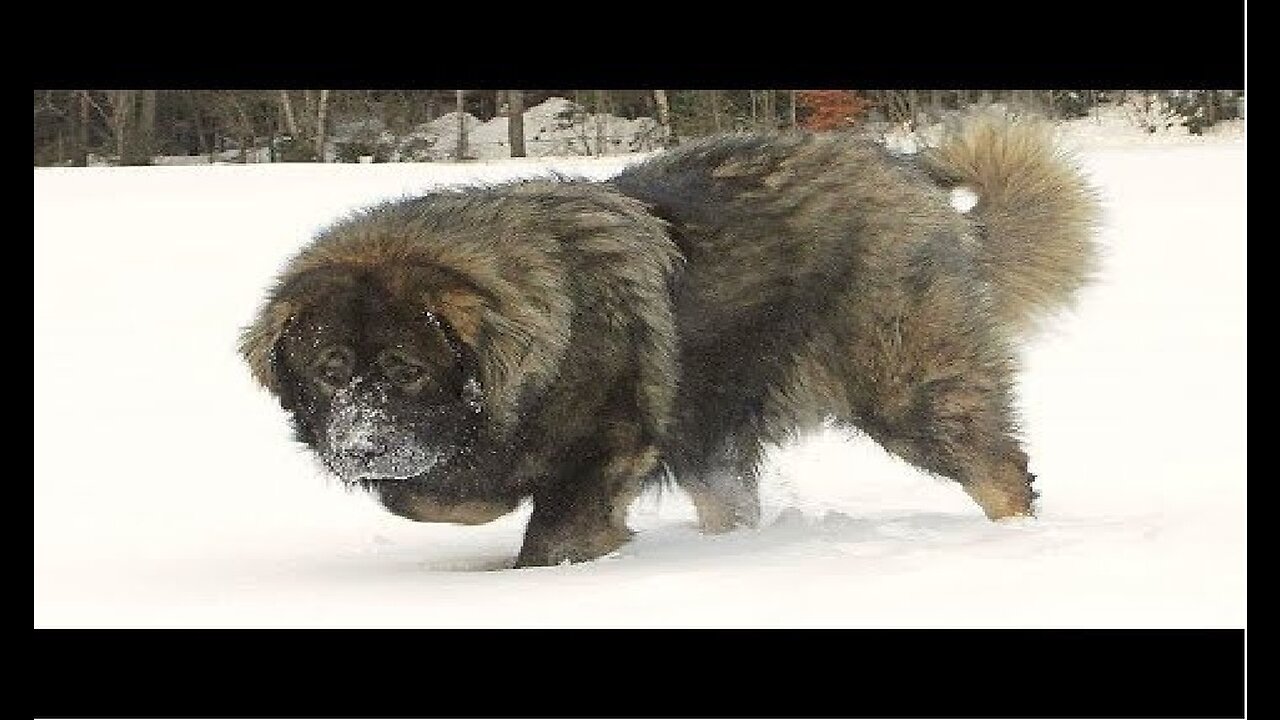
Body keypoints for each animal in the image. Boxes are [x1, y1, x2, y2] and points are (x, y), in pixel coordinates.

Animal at [241, 109, 1100, 563]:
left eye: (406, 371)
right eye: (329, 370)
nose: (361, 446)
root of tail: (914, 182)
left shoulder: (609, 442)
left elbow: (551, 532)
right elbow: (429, 496)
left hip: (909, 388)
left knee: (1001, 471)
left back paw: (1016, 546)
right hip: (717, 431)